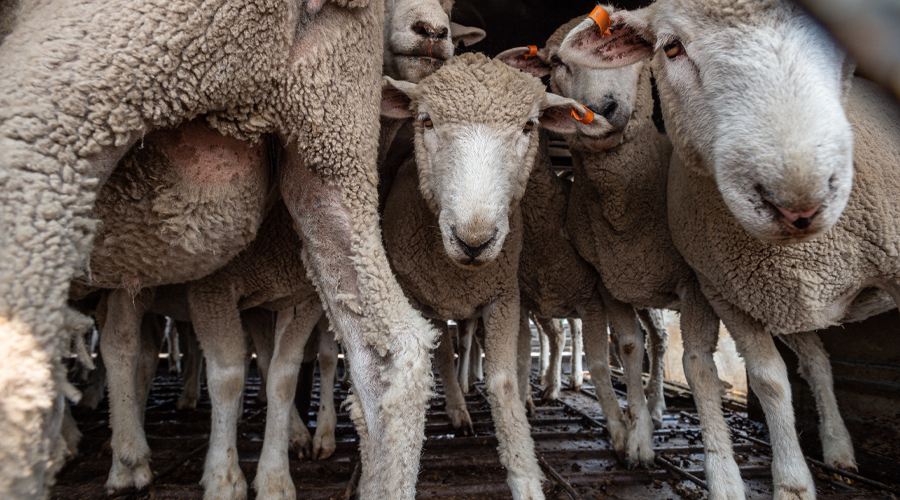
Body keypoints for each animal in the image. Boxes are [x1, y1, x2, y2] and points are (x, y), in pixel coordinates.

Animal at [380, 51, 591, 499]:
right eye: (426, 121)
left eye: (529, 126)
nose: (474, 240)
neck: (461, 273)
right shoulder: (421, 300)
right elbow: (441, 355)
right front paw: (458, 411)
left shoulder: (504, 296)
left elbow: (504, 382)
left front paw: (525, 474)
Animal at [559, 1, 900, 498]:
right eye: (671, 47)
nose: (798, 199)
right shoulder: (717, 290)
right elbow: (763, 379)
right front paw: (780, 481)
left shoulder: (703, 286)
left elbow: (701, 363)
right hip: (777, 298)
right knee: (812, 356)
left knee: (814, 359)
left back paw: (837, 449)